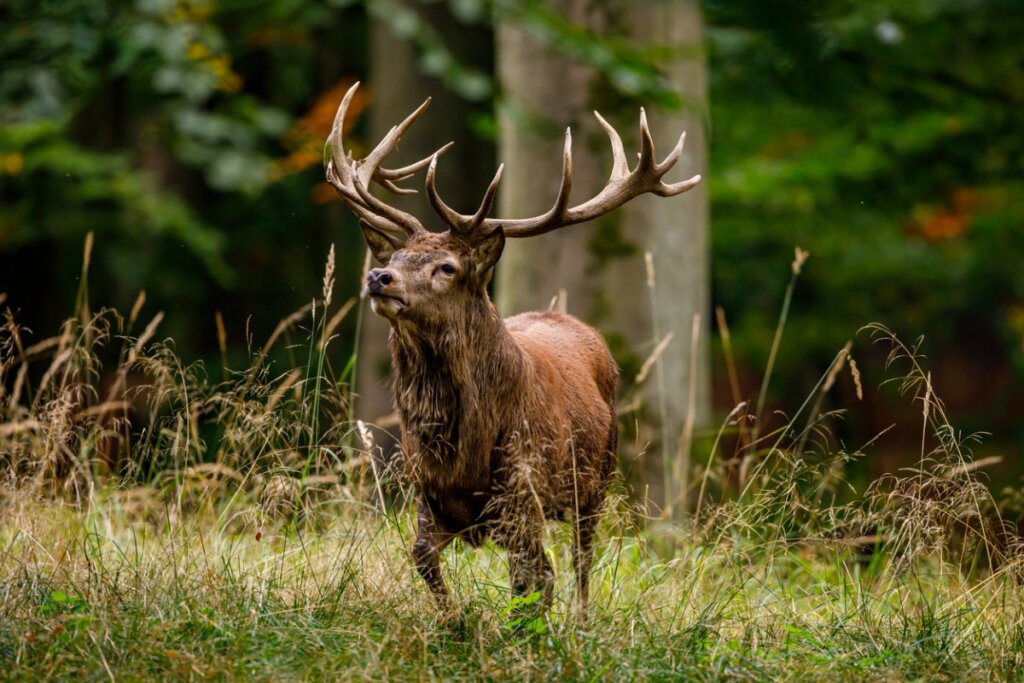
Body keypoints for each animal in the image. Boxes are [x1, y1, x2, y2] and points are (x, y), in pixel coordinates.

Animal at [323, 82, 700, 618]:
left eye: (447, 267)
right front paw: (454, 621)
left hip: (599, 478)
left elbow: (533, 580)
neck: (462, 451)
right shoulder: (429, 495)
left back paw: (582, 620)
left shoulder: (524, 492)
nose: (379, 277)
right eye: (394, 255)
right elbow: (422, 558)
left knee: (581, 560)